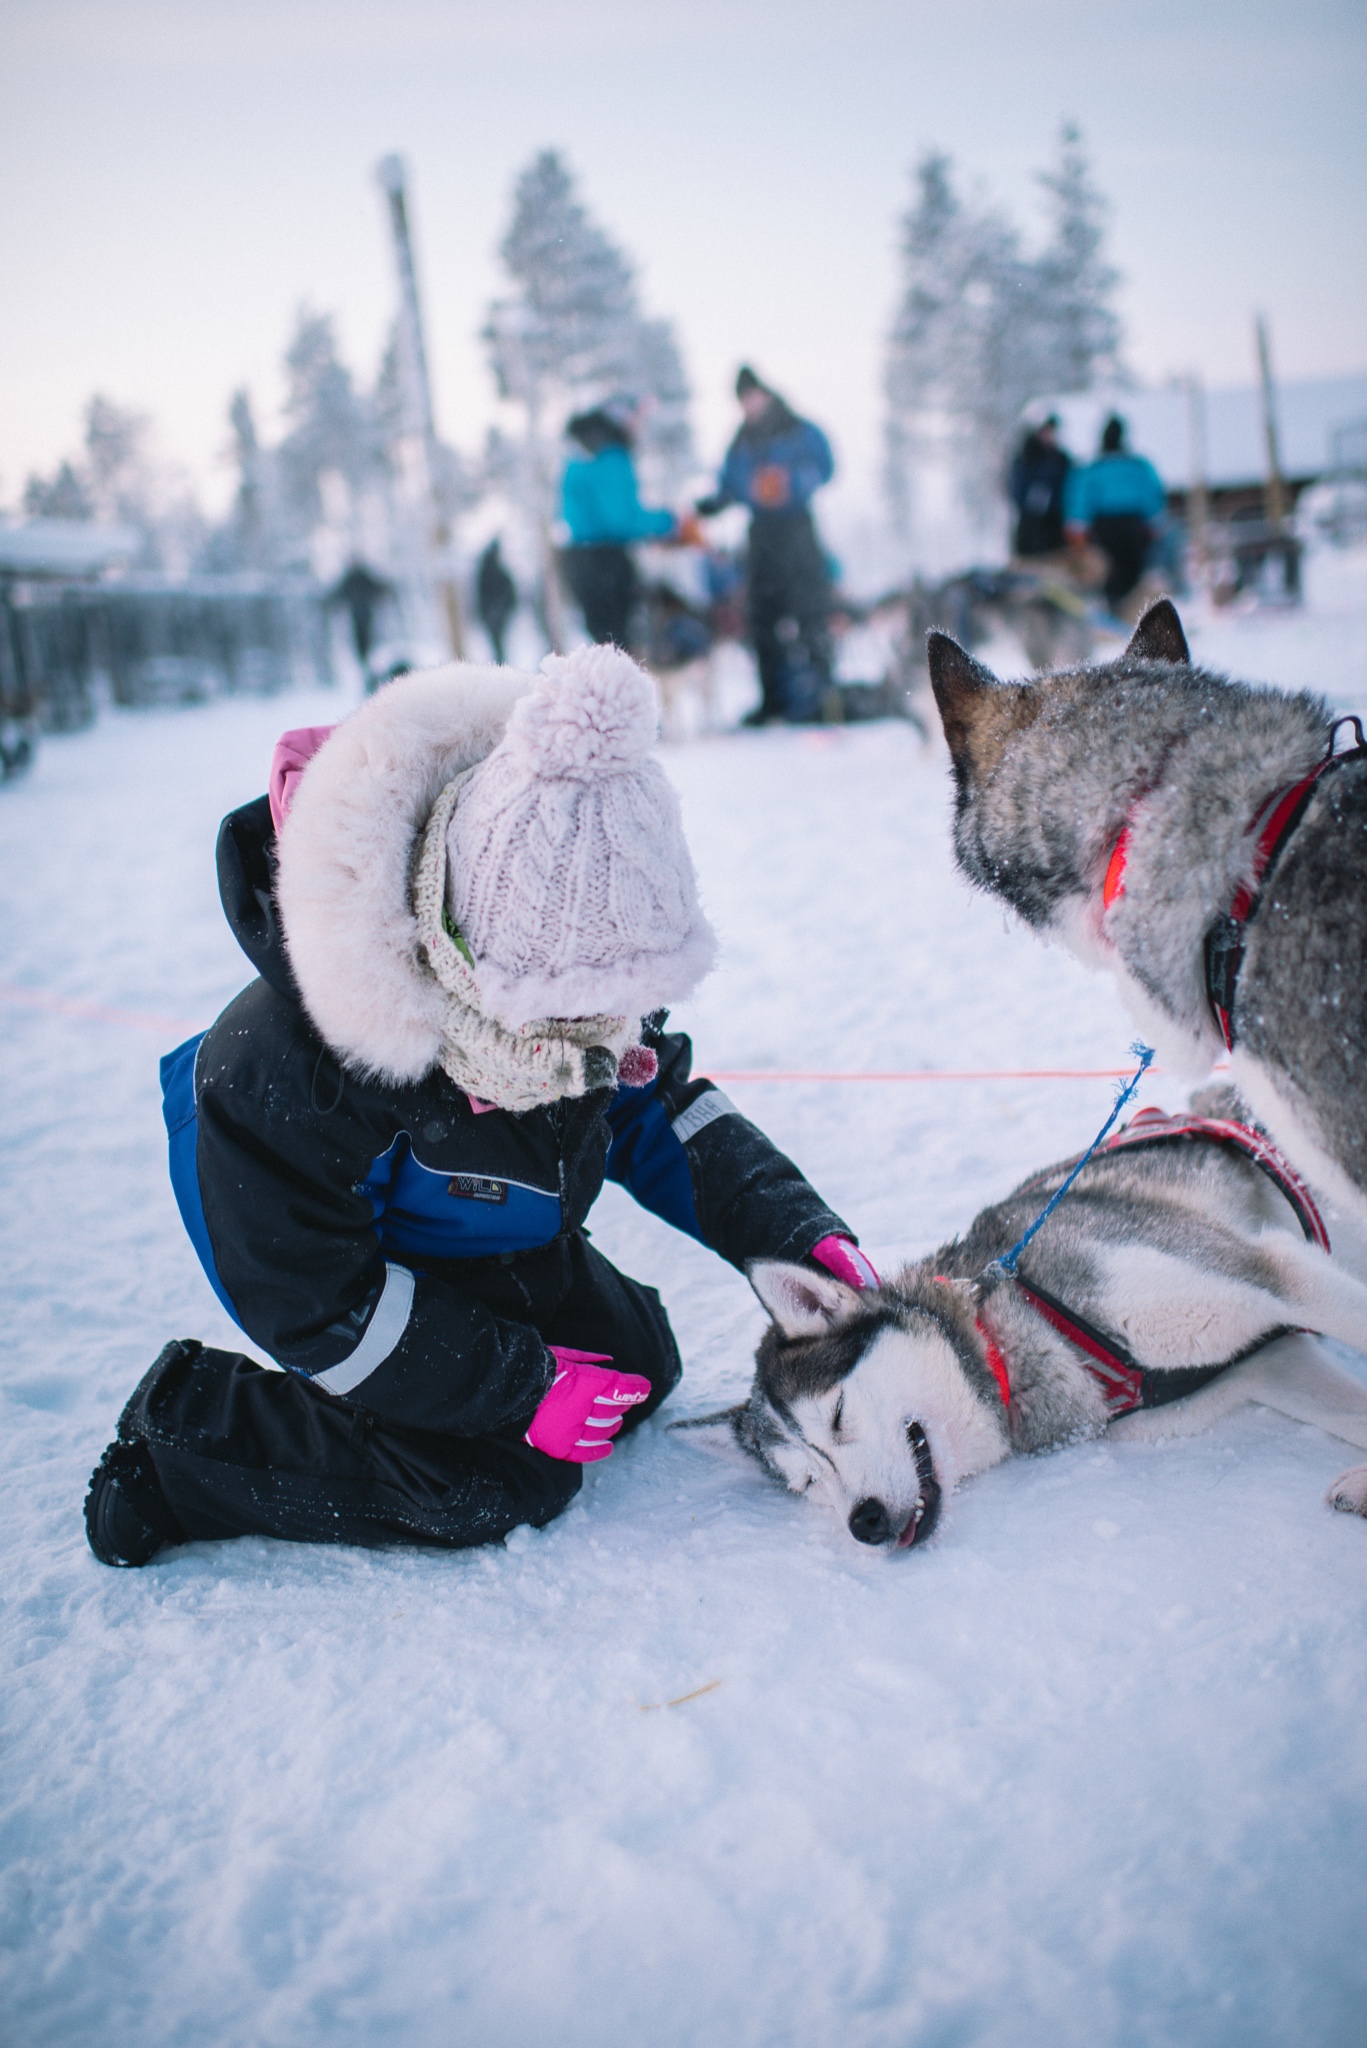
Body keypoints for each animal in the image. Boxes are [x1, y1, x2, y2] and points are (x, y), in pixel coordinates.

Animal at [688, 1105, 1367, 1548]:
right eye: (808, 1481)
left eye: (837, 1414)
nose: (864, 1522)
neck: (1008, 1332)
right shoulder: (1268, 1363)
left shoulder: (1272, 1271)